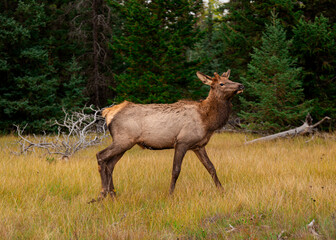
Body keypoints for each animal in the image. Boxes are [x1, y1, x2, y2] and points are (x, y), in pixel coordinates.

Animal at [94, 70, 244, 201]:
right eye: (221, 83)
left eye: (230, 79)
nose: (240, 85)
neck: (207, 121)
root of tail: (108, 113)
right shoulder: (182, 142)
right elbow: (175, 170)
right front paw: (170, 195)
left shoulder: (198, 146)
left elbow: (211, 167)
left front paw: (222, 191)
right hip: (123, 140)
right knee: (101, 156)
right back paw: (102, 194)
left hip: (125, 143)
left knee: (110, 164)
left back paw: (113, 195)